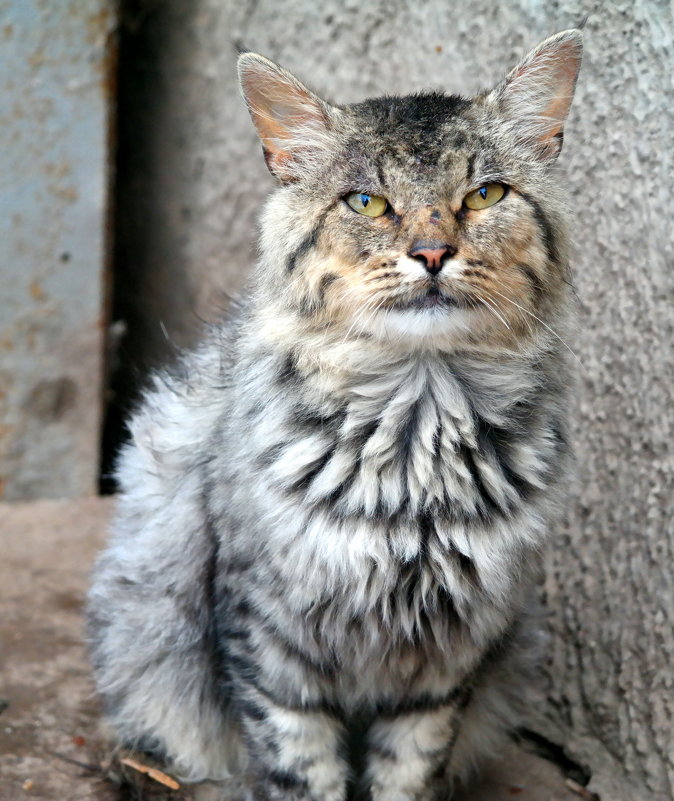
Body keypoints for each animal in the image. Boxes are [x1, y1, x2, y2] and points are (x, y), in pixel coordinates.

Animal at [88, 31, 584, 800]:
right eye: (367, 202)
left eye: (485, 194)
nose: (432, 253)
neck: (418, 429)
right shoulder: (270, 638)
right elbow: (301, 768)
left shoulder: (444, 660)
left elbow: (408, 768)